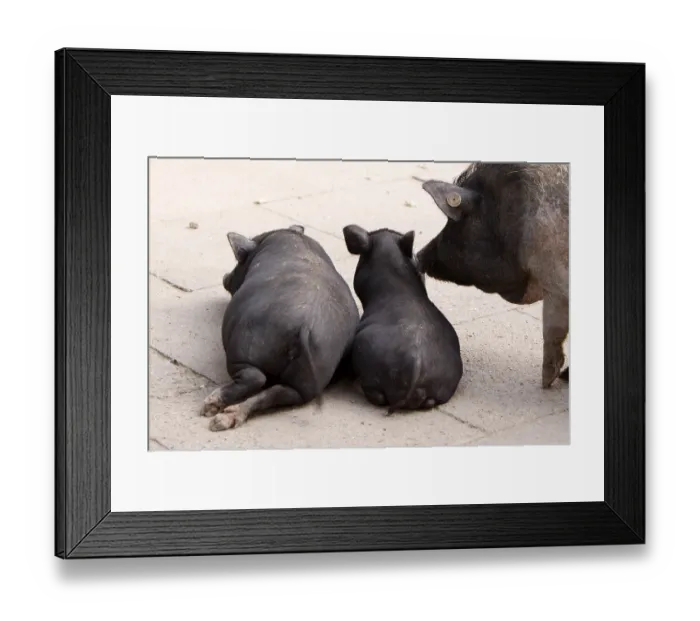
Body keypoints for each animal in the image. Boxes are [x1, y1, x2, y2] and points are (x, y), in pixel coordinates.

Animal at [201, 224, 360, 431]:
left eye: (240, 259)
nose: (225, 277)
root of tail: (304, 326)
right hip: (312, 374)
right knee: (274, 394)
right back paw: (226, 418)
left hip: (245, 346)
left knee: (255, 378)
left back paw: (211, 408)